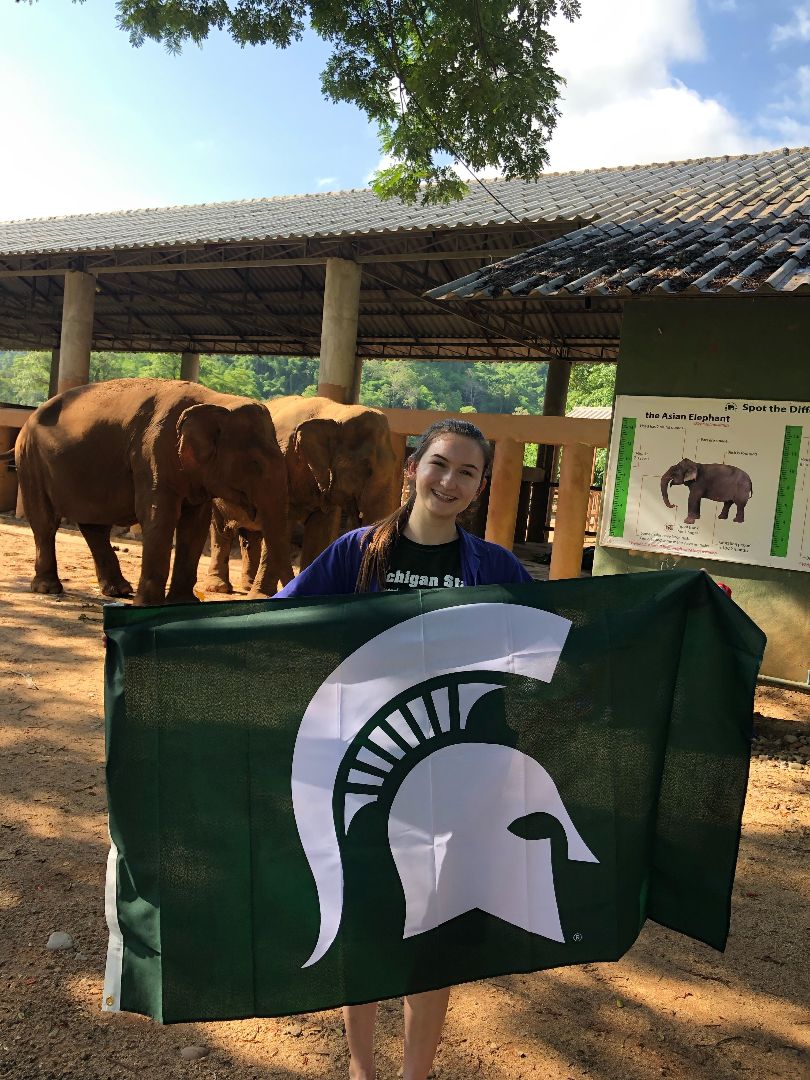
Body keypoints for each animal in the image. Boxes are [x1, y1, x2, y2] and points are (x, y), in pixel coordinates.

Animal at [14, 378, 293, 609]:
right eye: (255, 464)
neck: (217, 400)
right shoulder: (152, 453)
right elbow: (159, 516)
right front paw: (147, 605)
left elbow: (195, 524)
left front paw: (182, 603)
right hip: (30, 459)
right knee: (45, 522)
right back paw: (48, 588)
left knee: (94, 524)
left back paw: (118, 590)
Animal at [204, 395, 397, 596]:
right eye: (366, 468)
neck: (335, 411)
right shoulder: (281, 468)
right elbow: (283, 527)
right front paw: (262, 595)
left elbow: (320, 531)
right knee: (221, 530)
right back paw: (219, 587)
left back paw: (247, 585)